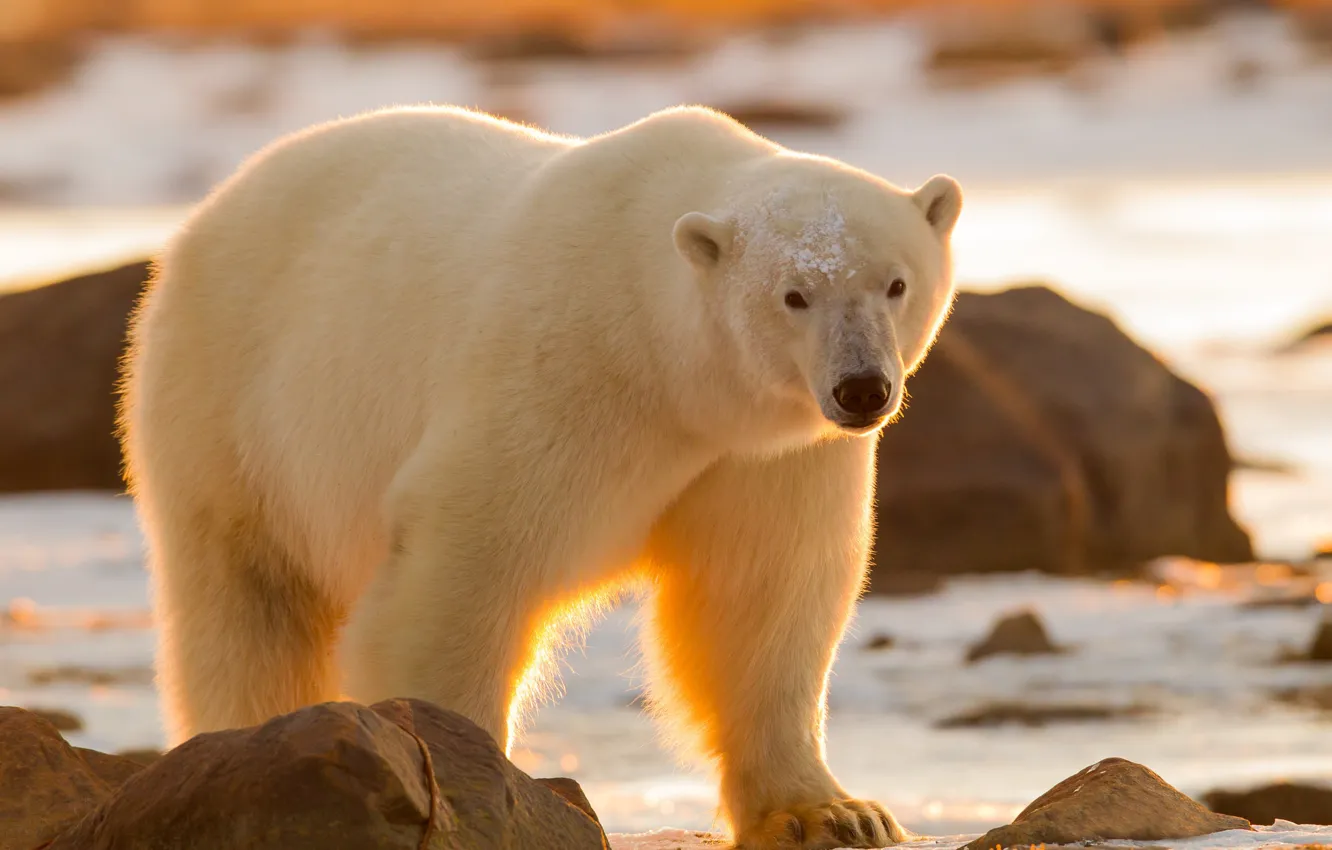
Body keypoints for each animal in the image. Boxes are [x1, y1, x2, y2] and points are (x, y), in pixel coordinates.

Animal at [118, 105, 962, 849]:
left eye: (895, 284)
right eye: (795, 295)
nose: (862, 388)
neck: (667, 369)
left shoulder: (766, 456)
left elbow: (761, 596)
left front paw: (836, 813)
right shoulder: (560, 370)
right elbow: (466, 562)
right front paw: (466, 783)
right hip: (232, 407)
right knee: (249, 604)